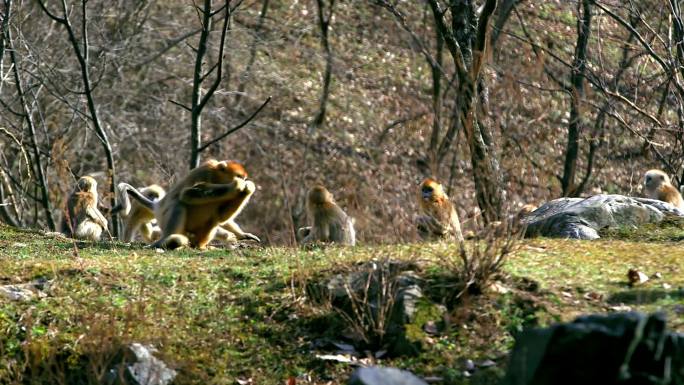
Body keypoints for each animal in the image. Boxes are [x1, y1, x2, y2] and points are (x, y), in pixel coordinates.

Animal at [116, 159, 258, 249]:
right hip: (164, 217)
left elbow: (223, 217)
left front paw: (242, 235)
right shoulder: (206, 173)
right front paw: (236, 186)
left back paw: (200, 246)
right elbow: (186, 194)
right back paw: (164, 242)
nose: (243, 180)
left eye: (244, 177)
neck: (217, 177)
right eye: (239, 176)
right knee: (178, 204)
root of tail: (159, 205)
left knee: (214, 216)